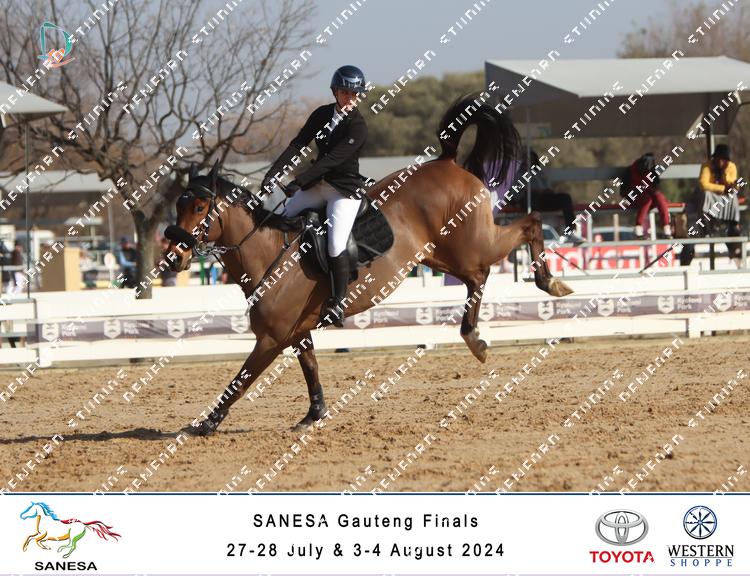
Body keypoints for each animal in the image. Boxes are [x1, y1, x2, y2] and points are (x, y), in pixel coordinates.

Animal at [165, 93, 573, 436]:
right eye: (178, 204)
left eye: (199, 207)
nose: (173, 255)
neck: (269, 256)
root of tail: (445, 161)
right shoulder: (297, 333)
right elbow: (310, 367)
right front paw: (314, 414)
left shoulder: (271, 339)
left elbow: (240, 381)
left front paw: (208, 423)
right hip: (441, 256)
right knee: (477, 276)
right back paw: (483, 331)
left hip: (473, 244)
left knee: (525, 230)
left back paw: (540, 290)